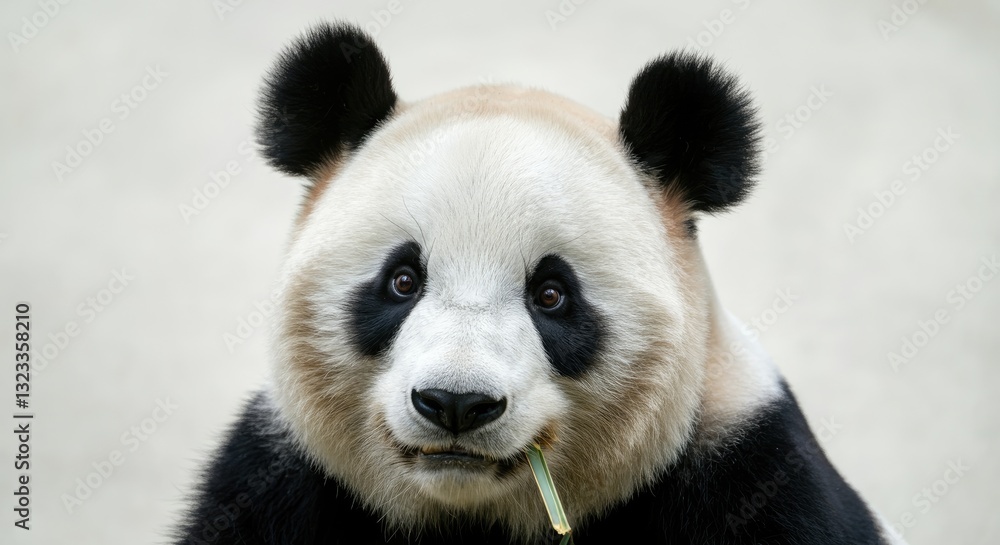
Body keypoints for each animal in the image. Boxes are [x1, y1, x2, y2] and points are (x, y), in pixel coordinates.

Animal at [175, 22, 905, 545]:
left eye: (551, 294)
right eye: (402, 280)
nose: (456, 403)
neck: (474, 515)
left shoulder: (750, 474)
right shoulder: (282, 483)